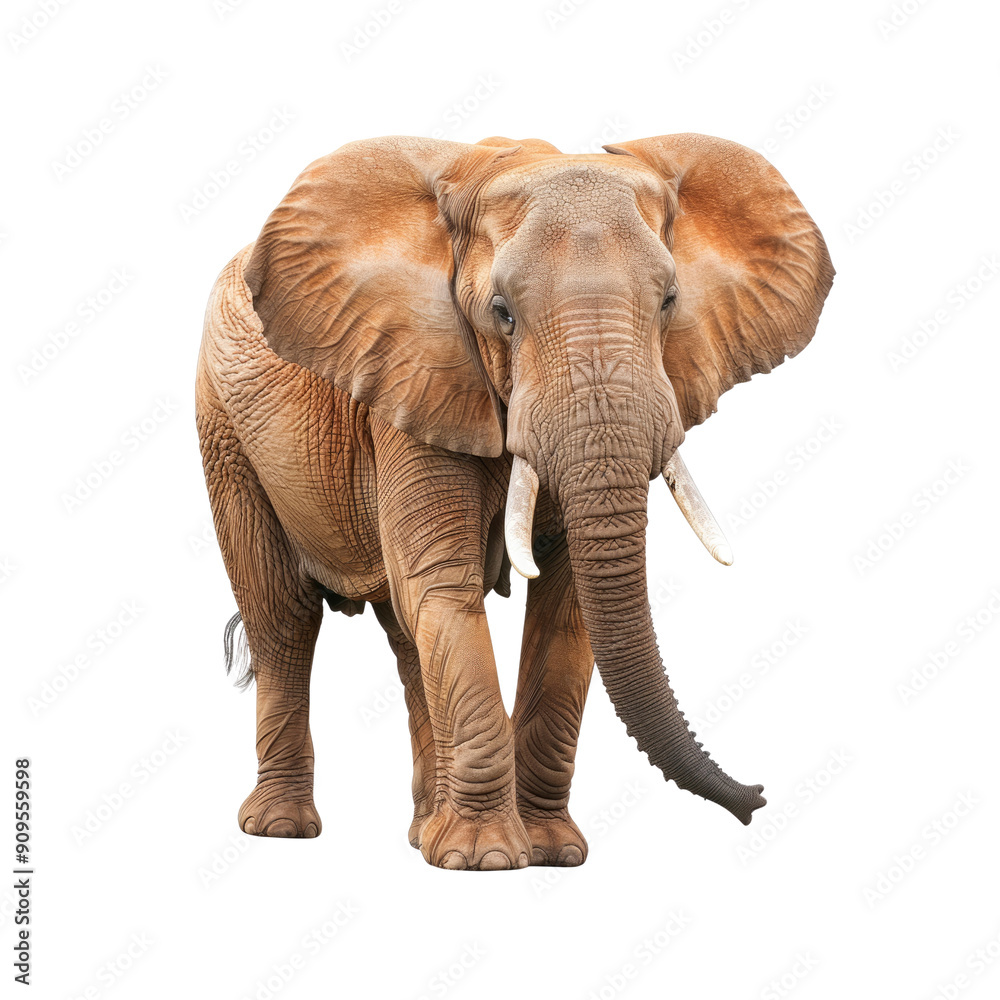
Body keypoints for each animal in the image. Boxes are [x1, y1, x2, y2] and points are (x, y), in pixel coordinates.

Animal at [196, 131, 833, 871]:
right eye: (501, 314)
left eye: (670, 301)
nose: (756, 797)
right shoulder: (415, 369)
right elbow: (442, 582)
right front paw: (484, 861)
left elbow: (563, 603)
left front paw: (550, 853)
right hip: (224, 432)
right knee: (283, 620)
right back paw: (281, 829)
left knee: (404, 635)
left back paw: (421, 833)